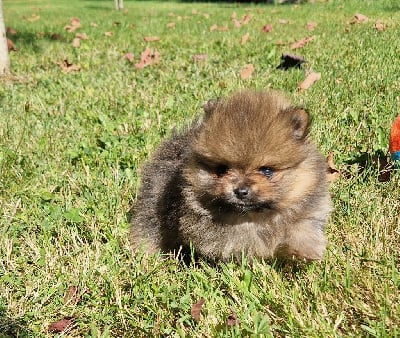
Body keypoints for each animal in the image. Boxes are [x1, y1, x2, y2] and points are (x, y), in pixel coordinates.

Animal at [130, 90, 332, 262]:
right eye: (222, 169)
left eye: (267, 170)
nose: (240, 191)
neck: (254, 216)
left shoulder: (307, 209)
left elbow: (302, 227)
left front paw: (302, 251)